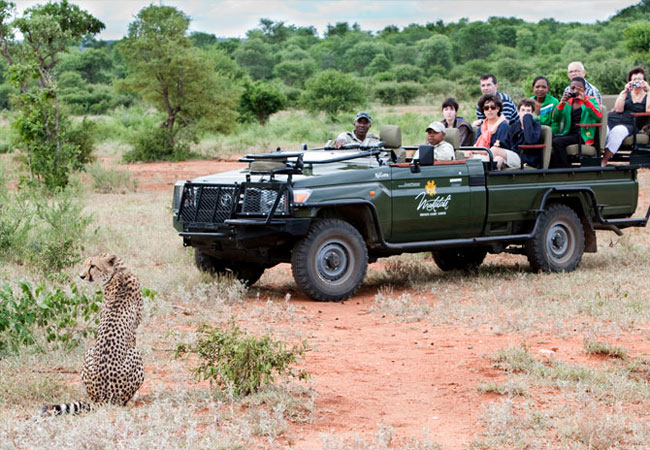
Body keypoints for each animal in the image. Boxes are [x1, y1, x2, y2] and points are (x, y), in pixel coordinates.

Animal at [42, 253, 145, 414]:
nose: (82, 276)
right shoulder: (134, 332)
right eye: (86, 264)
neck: (117, 274)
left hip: (89, 352)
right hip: (136, 354)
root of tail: (102, 398)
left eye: (93, 266)